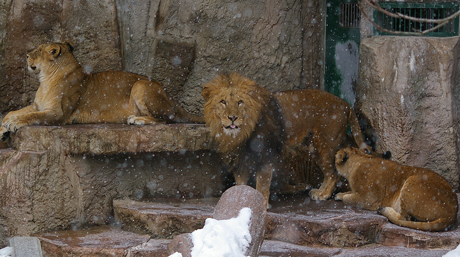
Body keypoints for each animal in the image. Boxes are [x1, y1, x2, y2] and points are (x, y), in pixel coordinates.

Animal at [0, 41, 203, 139]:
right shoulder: (38, 105)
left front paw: (14, 123)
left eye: (38, 50)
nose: (26, 56)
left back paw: (137, 119)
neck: (45, 80)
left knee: (163, 120)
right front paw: (4, 127)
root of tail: (171, 98)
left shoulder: (59, 114)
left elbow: (31, 117)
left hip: (141, 86)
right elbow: (12, 112)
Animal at [203, 73, 372, 205]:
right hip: (314, 147)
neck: (242, 133)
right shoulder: (239, 158)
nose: (232, 117)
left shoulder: (266, 155)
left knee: (334, 173)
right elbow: (240, 184)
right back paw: (317, 191)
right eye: (223, 102)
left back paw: (323, 195)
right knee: (327, 172)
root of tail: (346, 104)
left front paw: (262, 205)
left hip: (326, 143)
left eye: (240, 102)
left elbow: (262, 185)